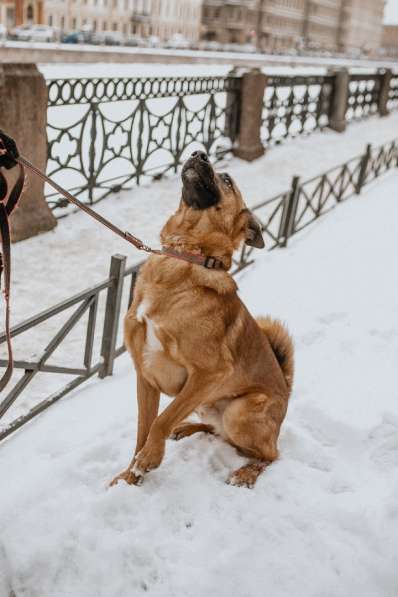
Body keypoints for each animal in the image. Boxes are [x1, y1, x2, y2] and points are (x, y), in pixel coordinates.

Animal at [110, 150, 294, 488]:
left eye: (227, 180)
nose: (198, 153)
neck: (185, 253)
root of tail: (287, 391)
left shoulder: (210, 374)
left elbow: (161, 419)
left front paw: (149, 458)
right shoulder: (146, 375)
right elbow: (144, 429)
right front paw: (130, 477)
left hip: (238, 410)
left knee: (270, 454)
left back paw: (246, 473)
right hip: (209, 404)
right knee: (220, 434)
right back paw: (187, 429)